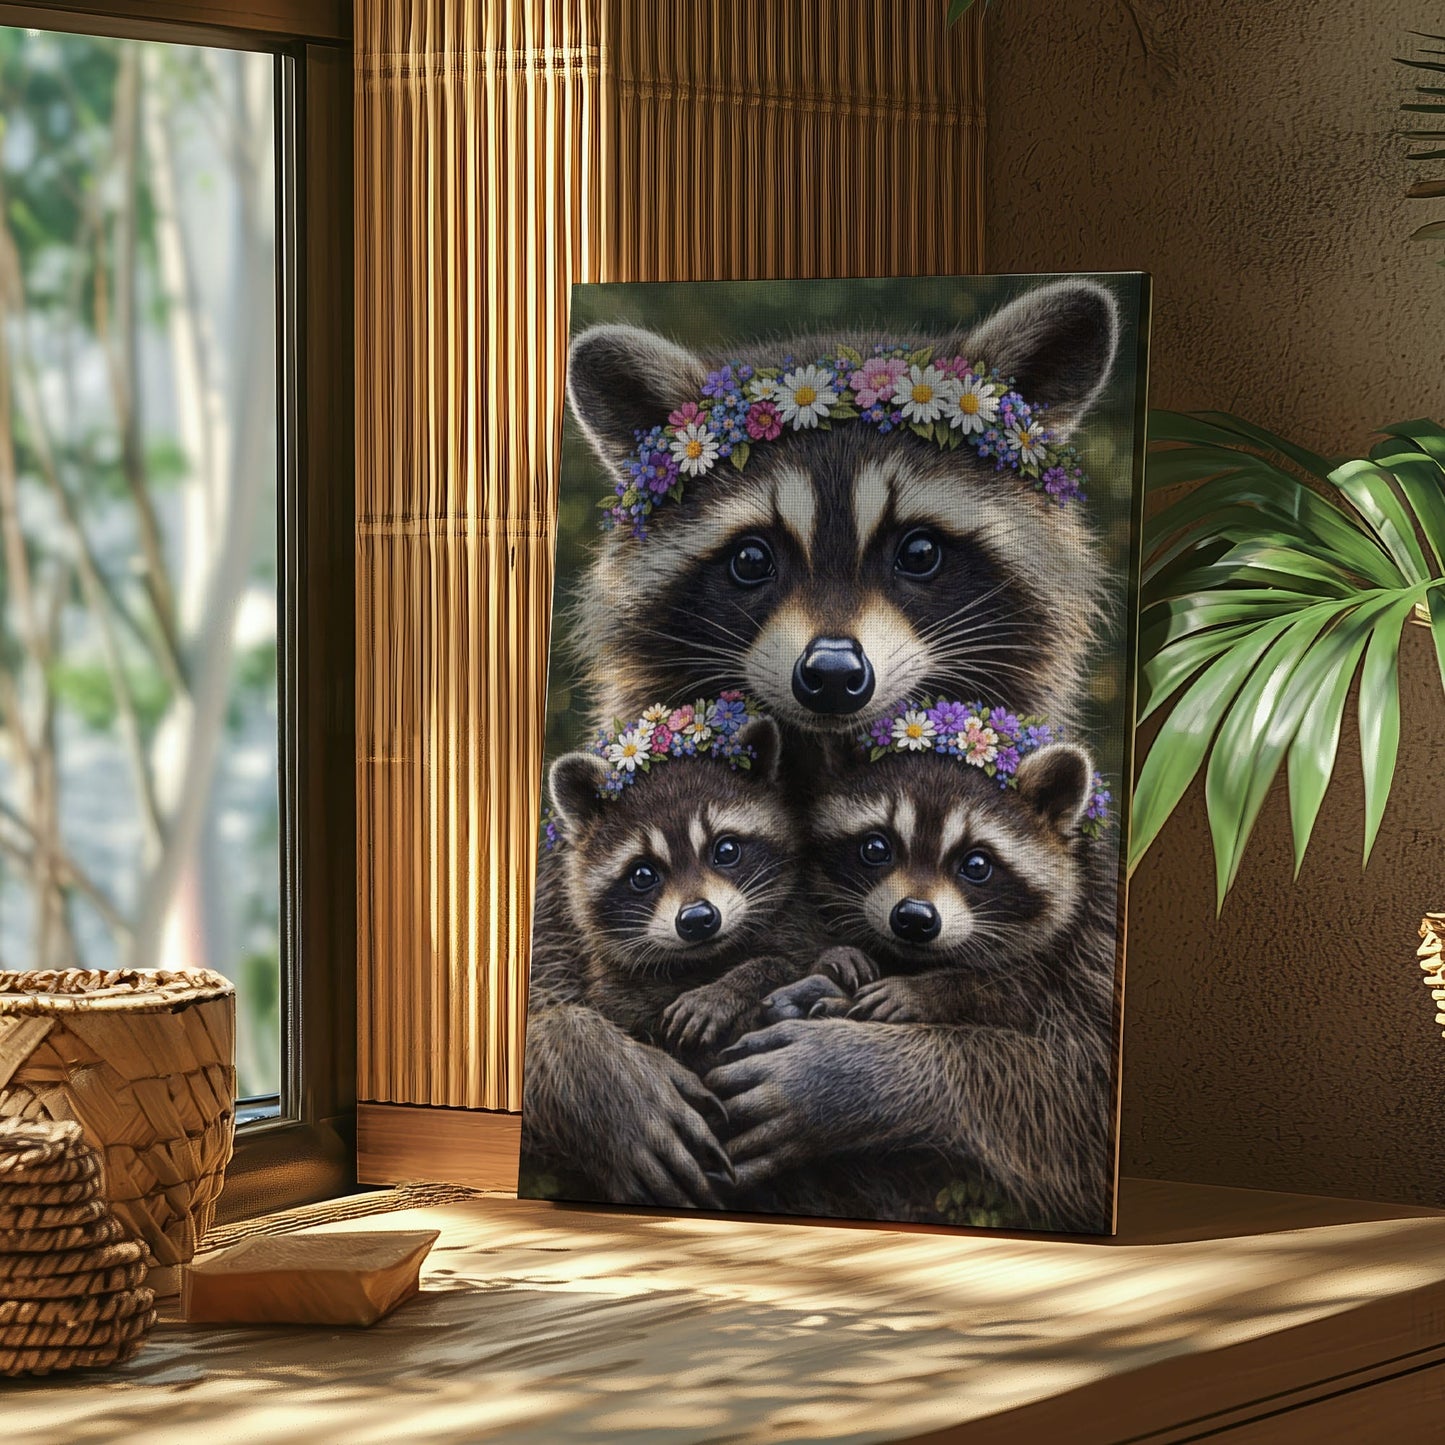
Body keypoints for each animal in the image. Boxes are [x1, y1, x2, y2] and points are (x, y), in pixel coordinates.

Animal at [520, 716, 811, 1210]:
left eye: (726, 850)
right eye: (643, 874)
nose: (697, 920)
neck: (703, 958)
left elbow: (791, 961)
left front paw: (732, 987)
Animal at [704, 744, 1119, 1233]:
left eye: (976, 864)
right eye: (876, 847)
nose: (915, 918)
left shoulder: (1084, 954)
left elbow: (1070, 1087)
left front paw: (913, 1006)